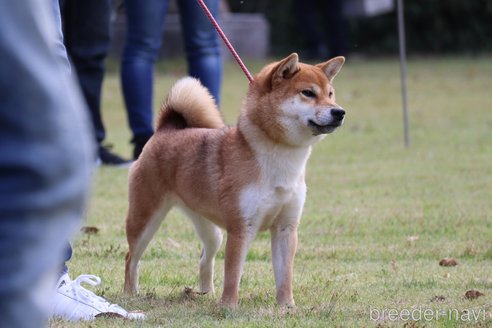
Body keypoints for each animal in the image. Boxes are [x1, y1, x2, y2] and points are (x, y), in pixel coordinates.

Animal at [123, 52, 346, 306]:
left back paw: (205, 294)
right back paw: (130, 294)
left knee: (204, 258)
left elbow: (285, 275)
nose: (339, 112)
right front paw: (228, 305)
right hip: (145, 219)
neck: (280, 158)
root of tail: (165, 130)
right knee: (131, 258)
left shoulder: (286, 228)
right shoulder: (241, 227)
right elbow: (233, 272)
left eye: (330, 94)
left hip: (211, 232)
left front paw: (287, 306)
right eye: (308, 93)